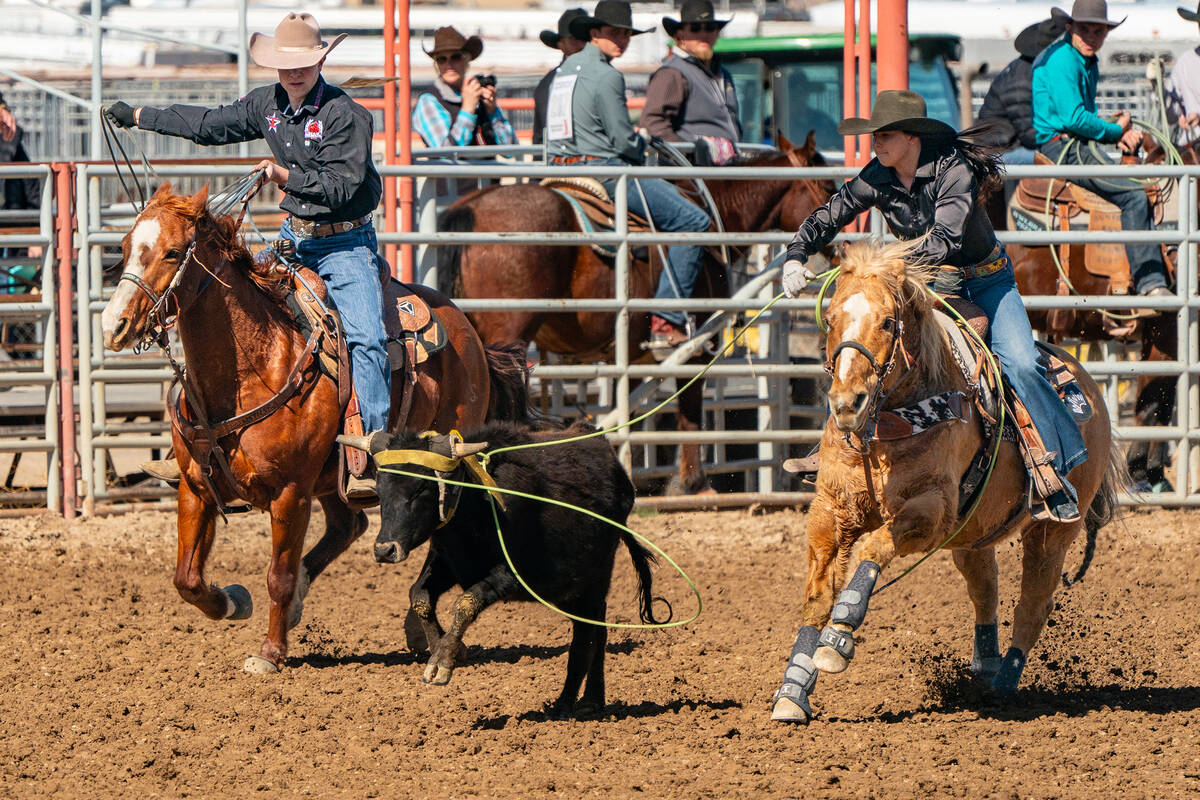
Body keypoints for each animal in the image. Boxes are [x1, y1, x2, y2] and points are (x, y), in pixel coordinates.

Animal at [94, 185, 525, 676]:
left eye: (171, 252)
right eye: (125, 247)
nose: (113, 326)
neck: (254, 366)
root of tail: (468, 331)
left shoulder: (291, 493)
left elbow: (277, 576)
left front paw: (270, 653)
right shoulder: (195, 486)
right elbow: (187, 578)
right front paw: (234, 601)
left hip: (439, 463)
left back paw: (418, 630)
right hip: (333, 480)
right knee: (350, 524)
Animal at [436, 136, 840, 494]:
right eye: (826, 185)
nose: (837, 246)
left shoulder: (626, 352)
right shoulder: (696, 346)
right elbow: (689, 411)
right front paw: (692, 483)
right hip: (509, 334)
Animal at [768, 237, 1123, 724]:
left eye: (888, 321)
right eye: (831, 319)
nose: (846, 403)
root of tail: (1088, 387)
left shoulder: (931, 511)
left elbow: (873, 549)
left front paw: (838, 638)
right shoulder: (831, 510)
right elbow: (818, 596)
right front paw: (793, 689)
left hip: (1052, 532)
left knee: (1033, 602)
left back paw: (1005, 682)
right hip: (974, 533)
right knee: (985, 586)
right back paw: (986, 665)